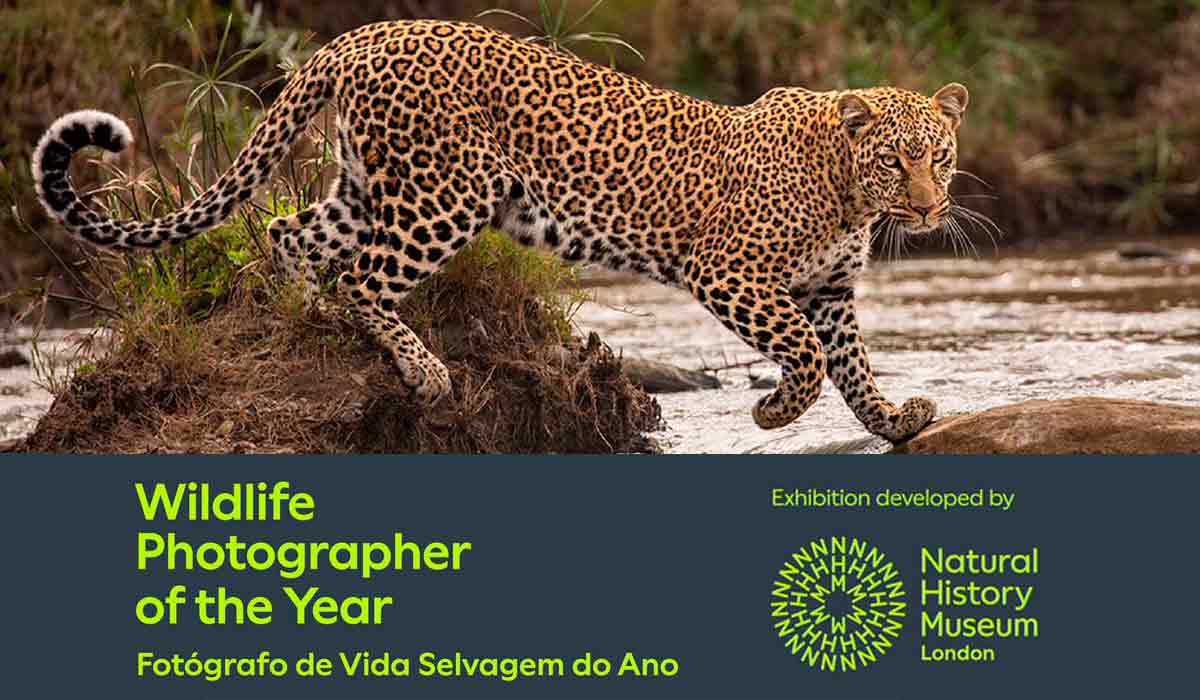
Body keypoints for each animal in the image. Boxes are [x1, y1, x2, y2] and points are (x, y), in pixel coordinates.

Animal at [30, 20, 964, 444]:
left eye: (942, 157)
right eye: (895, 161)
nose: (927, 210)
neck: (850, 192)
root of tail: (362, 34)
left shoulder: (829, 287)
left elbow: (850, 360)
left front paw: (894, 419)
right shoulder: (729, 271)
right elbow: (806, 355)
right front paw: (774, 412)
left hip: (367, 189)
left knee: (291, 236)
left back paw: (297, 325)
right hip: (447, 194)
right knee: (363, 278)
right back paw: (424, 371)